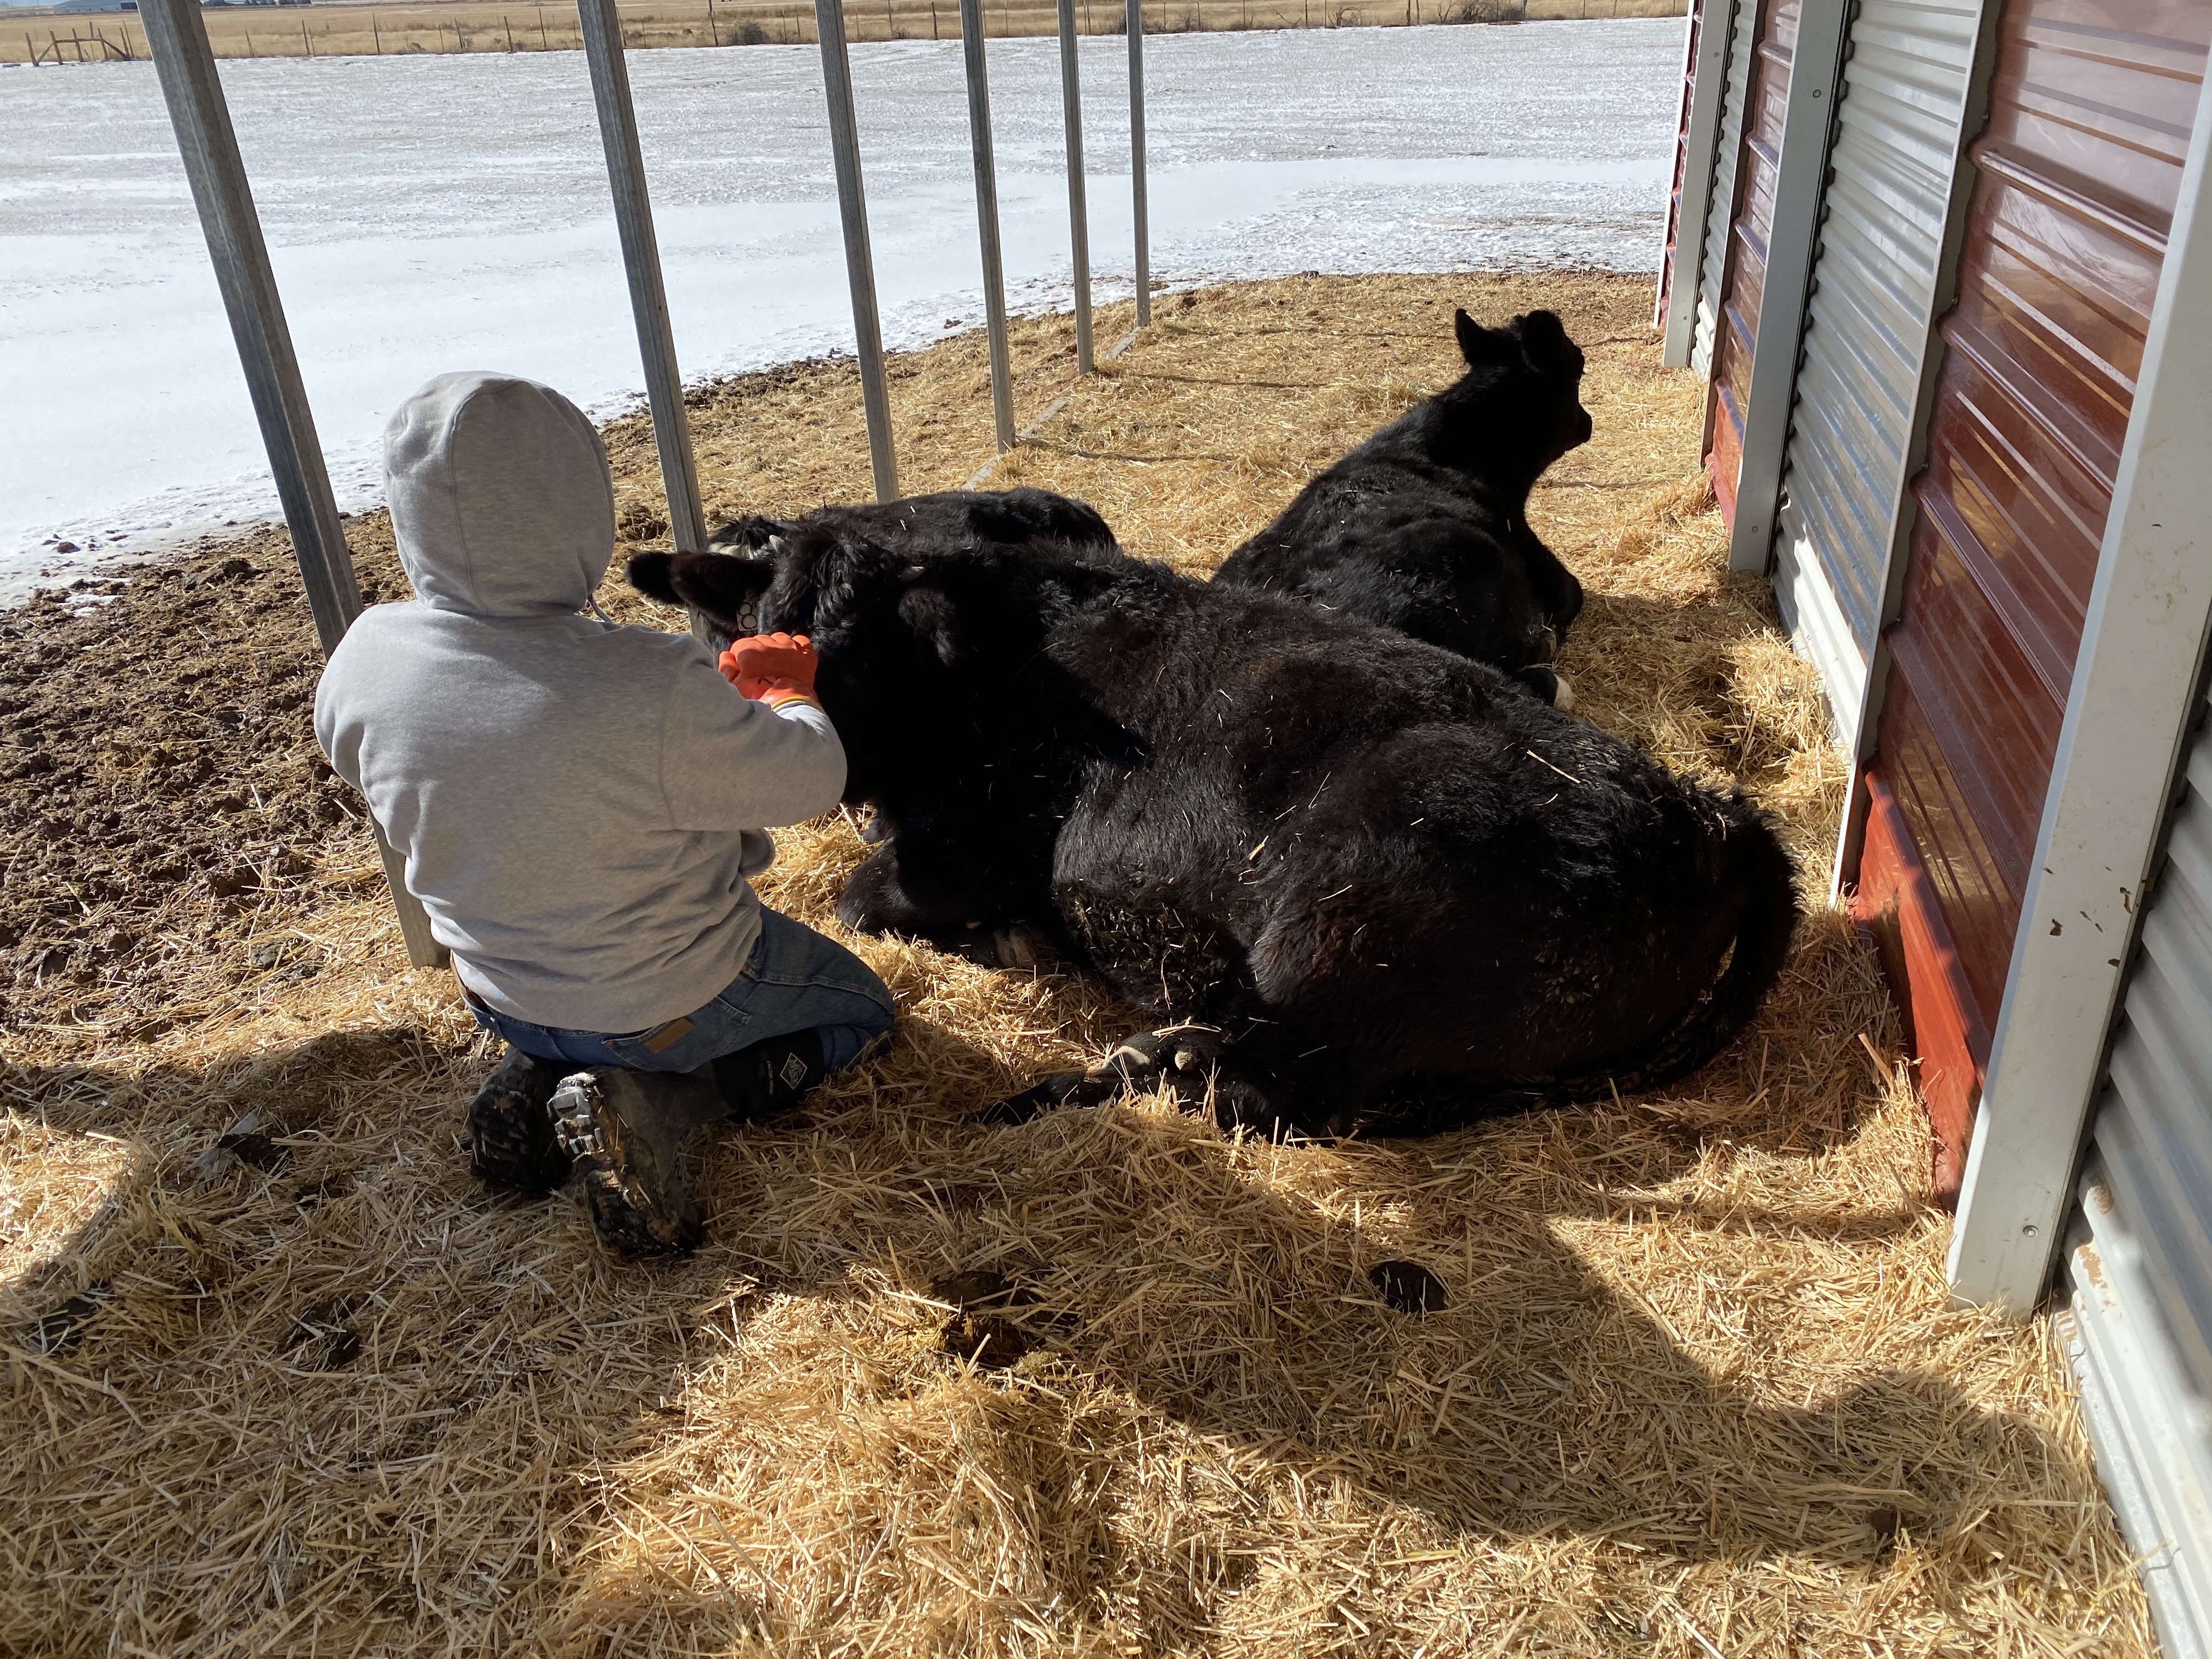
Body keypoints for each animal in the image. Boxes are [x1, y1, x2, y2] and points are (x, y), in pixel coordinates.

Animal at [628, 523, 1798, 1140]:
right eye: (753, 642)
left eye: (866, 650)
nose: (814, 765)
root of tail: (1708, 812)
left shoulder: (963, 852)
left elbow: (861, 893)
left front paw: (1004, 936)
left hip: (1344, 916)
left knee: (1268, 1092)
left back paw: (1145, 1062)